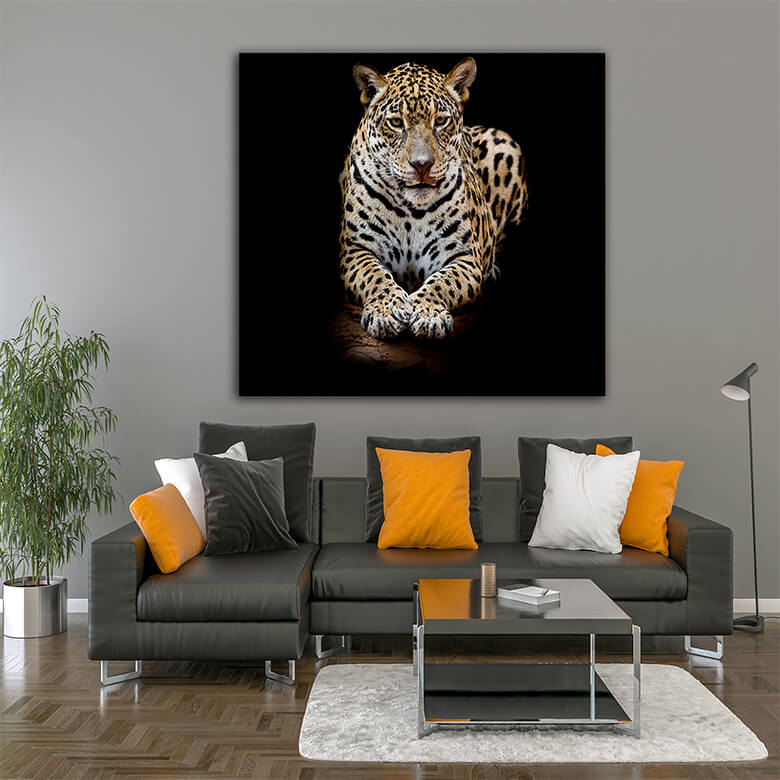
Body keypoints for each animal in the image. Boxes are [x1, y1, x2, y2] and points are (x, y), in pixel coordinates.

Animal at [339, 57, 528, 340]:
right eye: (396, 122)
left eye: (440, 121)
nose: (422, 165)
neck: (409, 210)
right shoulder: (355, 249)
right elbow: (374, 276)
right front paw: (386, 310)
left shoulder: (464, 257)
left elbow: (444, 282)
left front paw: (427, 313)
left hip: (505, 145)